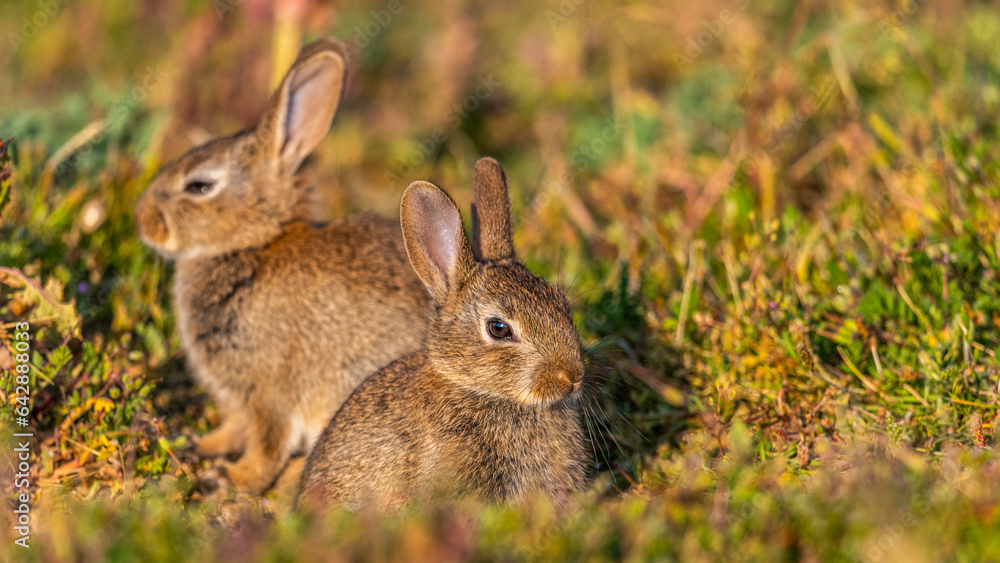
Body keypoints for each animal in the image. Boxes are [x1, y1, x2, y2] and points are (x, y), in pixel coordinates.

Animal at [134, 38, 431, 494]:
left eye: (199, 186)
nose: (143, 220)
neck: (254, 244)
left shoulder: (269, 392)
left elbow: (266, 445)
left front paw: (232, 477)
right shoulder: (236, 395)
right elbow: (232, 428)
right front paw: (200, 444)